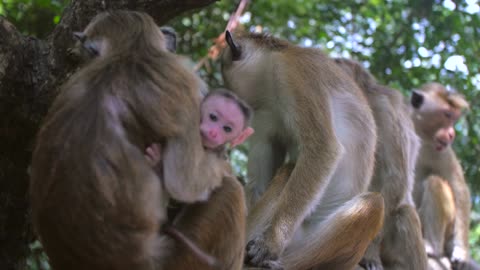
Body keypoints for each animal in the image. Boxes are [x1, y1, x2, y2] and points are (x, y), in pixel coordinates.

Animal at [29, 10, 246, 270]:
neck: (127, 53)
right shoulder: (184, 82)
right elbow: (185, 182)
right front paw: (222, 164)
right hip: (184, 258)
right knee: (231, 191)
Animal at [219, 30, 384, 268]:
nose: (233, 101)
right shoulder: (264, 114)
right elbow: (261, 181)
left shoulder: (294, 72)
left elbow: (323, 148)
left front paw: (271, 243)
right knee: (288, 170)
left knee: (373, 204)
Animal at [408, 82, 480, 270]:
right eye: (447, 115)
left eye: (454, 118)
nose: (452, 134)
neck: (420, 136)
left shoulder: (442, 152)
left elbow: (459, 189)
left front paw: (461, 252)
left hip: (448, 227)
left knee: (435, 182)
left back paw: (432, 247)